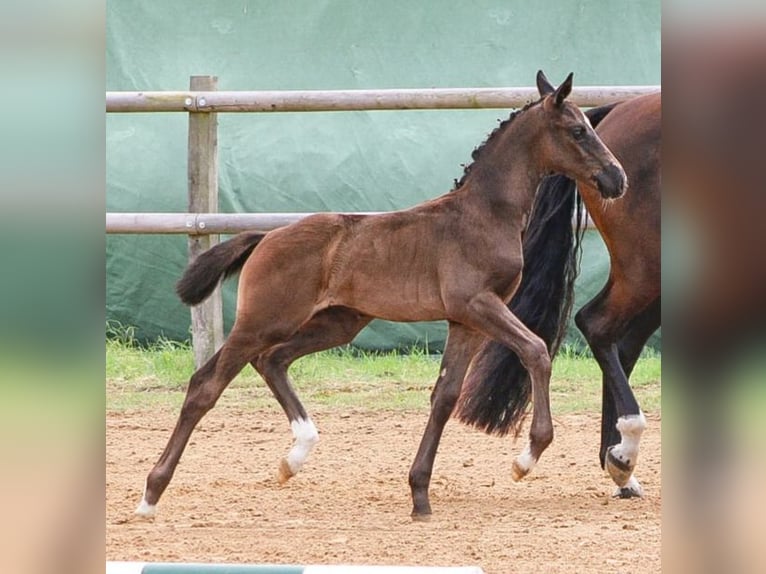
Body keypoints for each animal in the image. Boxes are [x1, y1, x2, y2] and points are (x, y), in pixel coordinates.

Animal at [135, 72, 628, 520]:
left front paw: (420, 496)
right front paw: (525, 458)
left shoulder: (465, 321)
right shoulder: (478, 304)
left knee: (272, 360)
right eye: (578, 130)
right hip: (264, 320)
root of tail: (266, 237)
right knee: (206, 385)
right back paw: (151, 495)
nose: (617, 178)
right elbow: (536, 351)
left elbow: (446, 396)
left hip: (338, 322)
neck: (484, 214)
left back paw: (294, 457)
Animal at [460, 91, 664, 500]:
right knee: (599, 325)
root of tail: (618, 110)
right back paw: (624, 455)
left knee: (622, 339)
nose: (614, 178)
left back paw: (621, 465)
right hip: (644, 264)